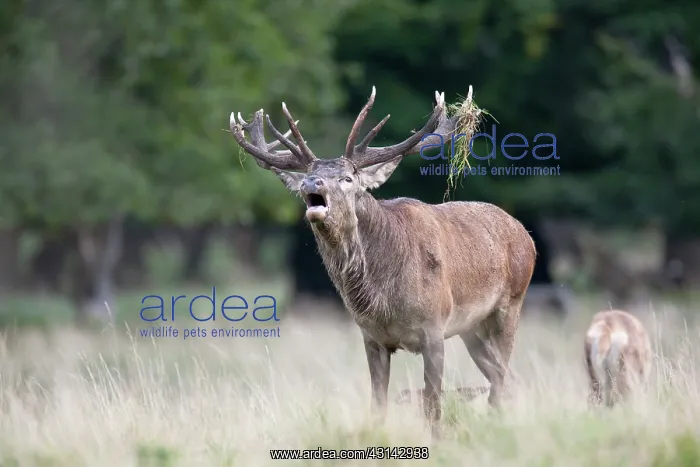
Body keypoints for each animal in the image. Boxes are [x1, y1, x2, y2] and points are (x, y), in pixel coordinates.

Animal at [228, 87, 537, 436]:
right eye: (309, 174)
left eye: (348, 178)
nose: (311, 184)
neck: (383, 300)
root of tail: (527, 236)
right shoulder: (371, 337)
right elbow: (377, 406)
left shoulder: (434, 329)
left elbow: (433, 406)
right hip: (471, 328)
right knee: (502, 377)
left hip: (511, 303)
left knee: (502, 376)